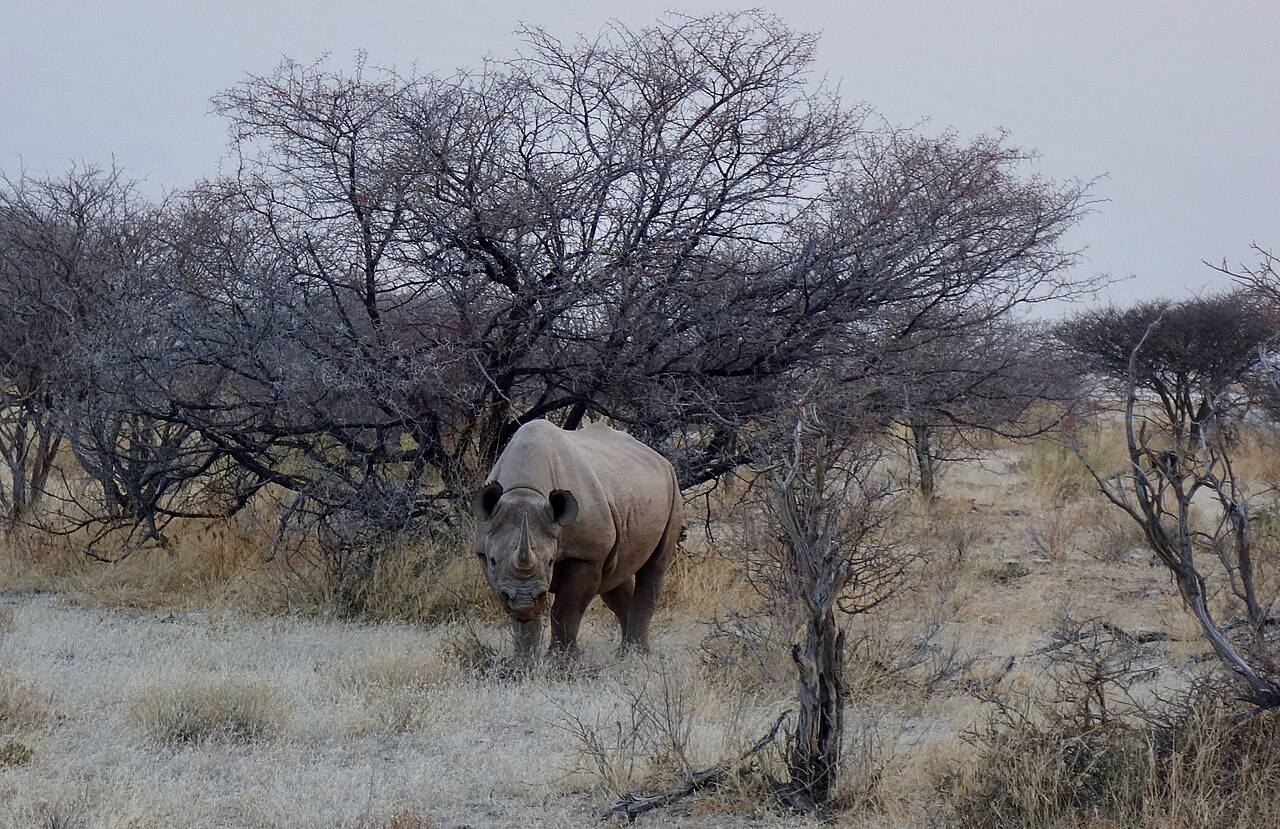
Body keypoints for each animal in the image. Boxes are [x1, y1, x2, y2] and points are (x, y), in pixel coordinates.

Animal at [470, 419, 683, 659]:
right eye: (494, 561)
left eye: (551, 562)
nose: (524, 601)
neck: (525, 491)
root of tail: (660, 458)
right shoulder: (485, 552)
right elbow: (514, 613)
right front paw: (524, 659)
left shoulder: (586, 555)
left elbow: (567, 608)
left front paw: (563, 660)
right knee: (615, 577)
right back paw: (625, 652)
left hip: (673, 487)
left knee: (654, 567)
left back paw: (638, 653)